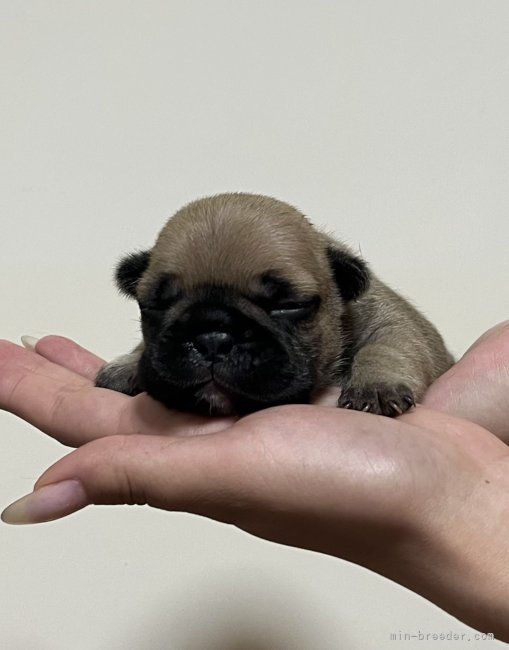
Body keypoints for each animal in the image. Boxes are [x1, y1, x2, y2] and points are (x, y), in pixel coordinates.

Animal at [95, 192, 452, 416]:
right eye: (155, 306)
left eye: (289, 305)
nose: (212, 337)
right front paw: (128, 363)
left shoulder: (392, 322)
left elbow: (387, 346)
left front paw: (375, 384)